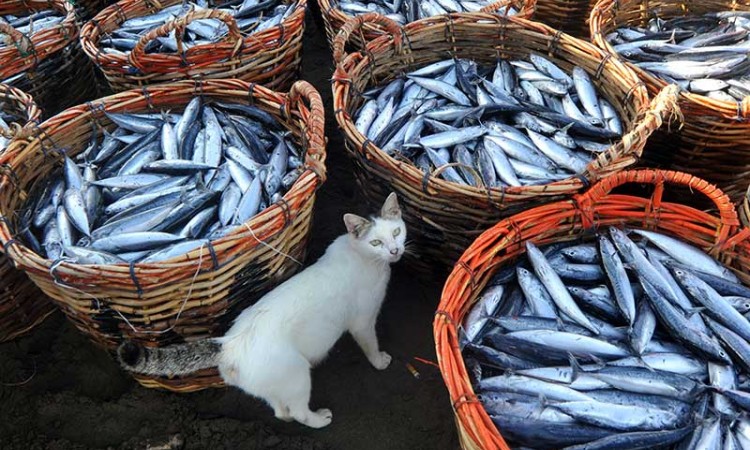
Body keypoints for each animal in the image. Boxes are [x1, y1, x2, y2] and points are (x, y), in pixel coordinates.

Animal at [119, 192, 408, 428]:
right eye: (376, 243)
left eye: (396, 232)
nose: (395, 250)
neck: (362, 257)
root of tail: (228, 345)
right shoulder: (363, 321)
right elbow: (370, 344)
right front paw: (380, 361)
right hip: (298, 376)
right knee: (300, 411)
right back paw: (319, 419)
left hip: (272, 385)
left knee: (281, 410)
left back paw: (286, 415)